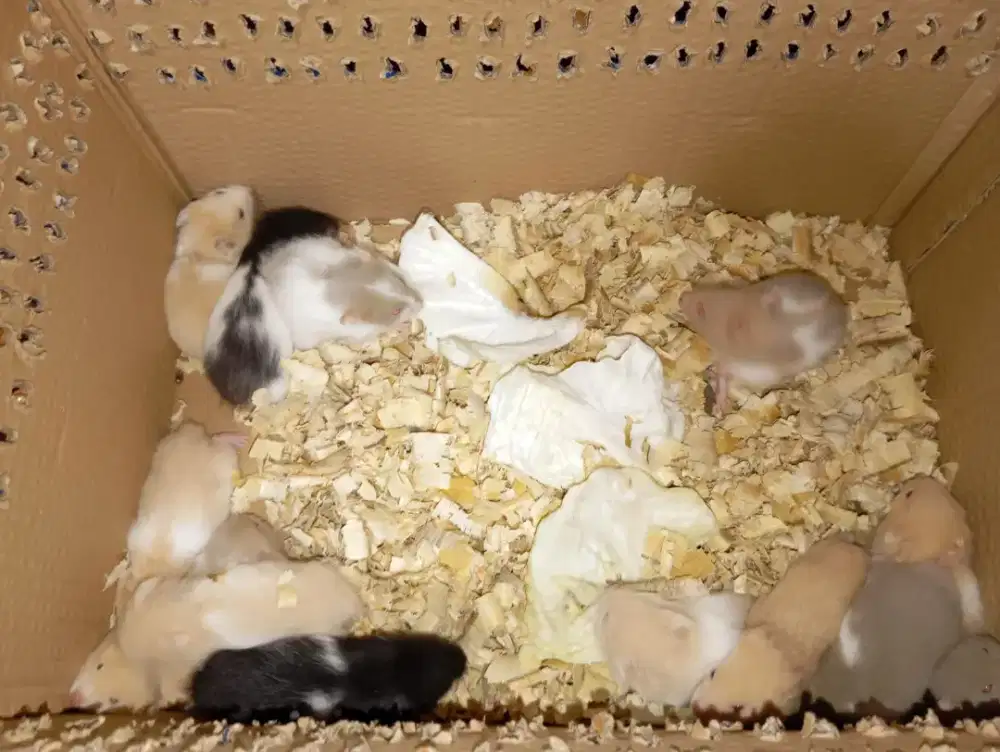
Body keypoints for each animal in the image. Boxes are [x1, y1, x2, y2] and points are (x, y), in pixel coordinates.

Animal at [679, 270, 849, 415]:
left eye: (701, 311)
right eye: (721, 287)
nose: (681, 297)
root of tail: (843, 306)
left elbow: (724, 379)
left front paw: (718, 405)